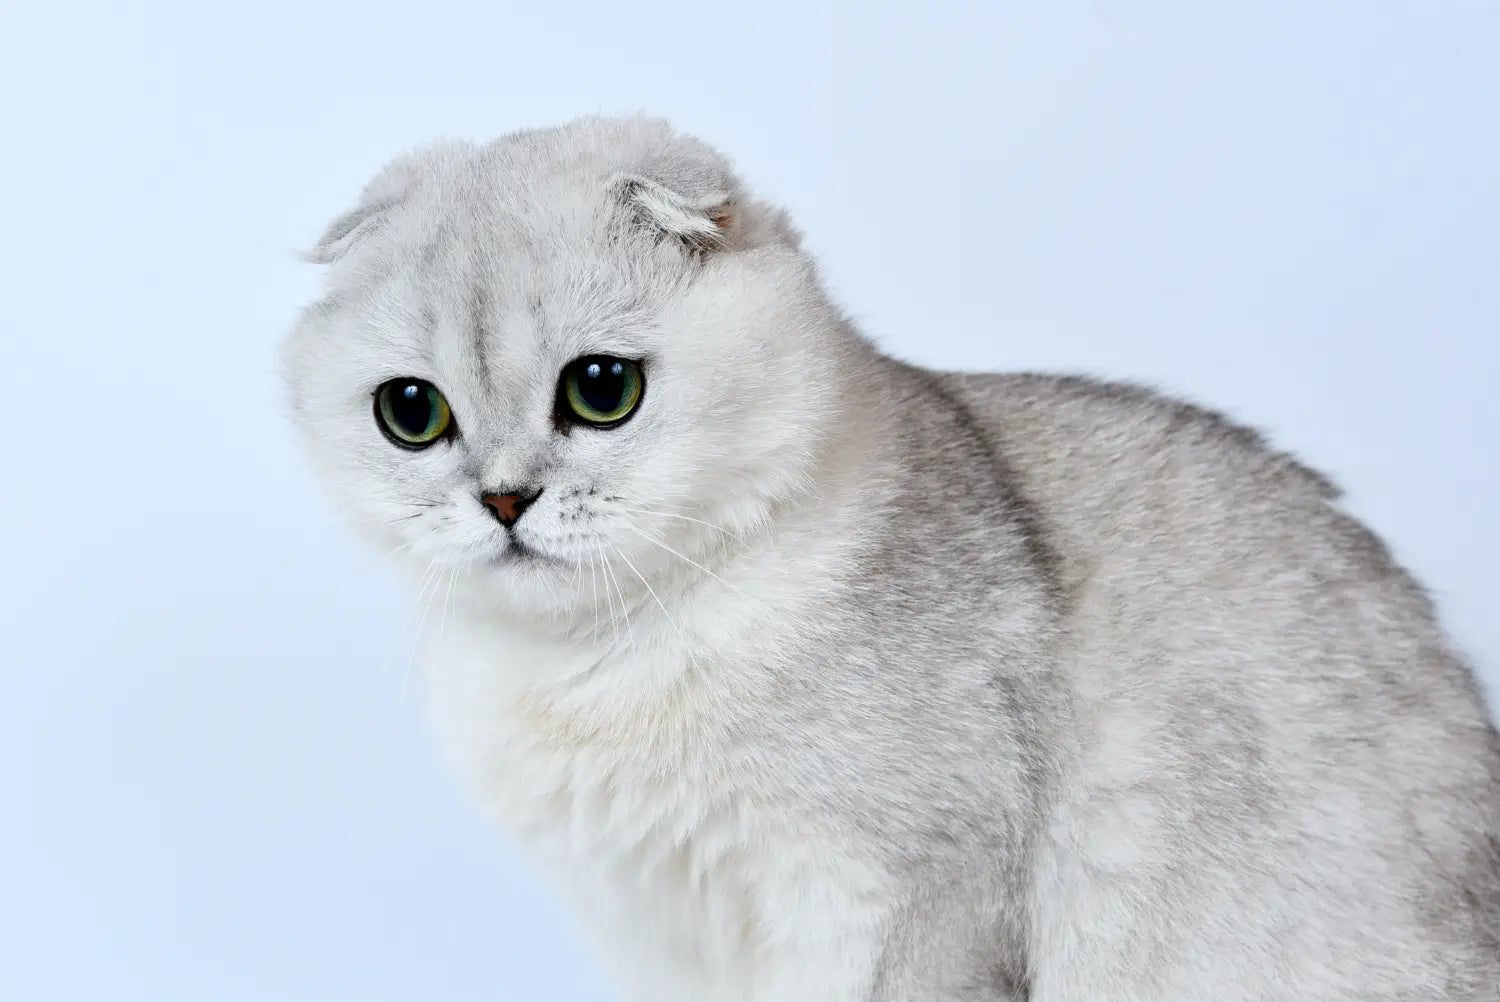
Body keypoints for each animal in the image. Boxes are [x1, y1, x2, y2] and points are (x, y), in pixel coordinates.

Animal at [283, 113, 1500, 996]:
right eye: (412, 413)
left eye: (601, 389)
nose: (502, 499)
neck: (598, 661)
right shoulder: (666, 933)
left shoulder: (910, 888)